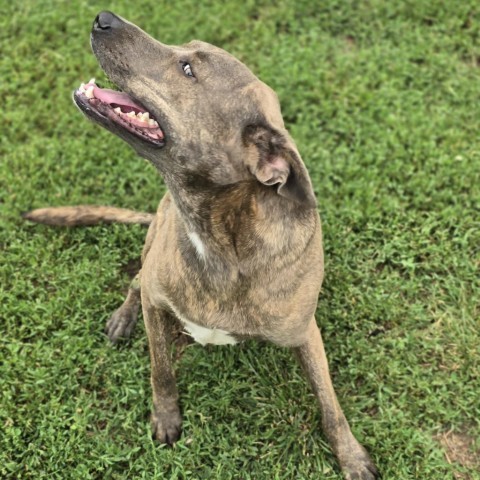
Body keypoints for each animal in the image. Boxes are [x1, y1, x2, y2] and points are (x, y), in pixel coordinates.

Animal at [25, 12, 378, 480]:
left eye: (188, 69)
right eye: (186, 51)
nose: (103, 18)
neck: (222, 242)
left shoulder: (305, 331)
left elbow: (330, 403)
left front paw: (351, 455)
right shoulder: (158, 303)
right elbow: (161, 371)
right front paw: (166, 416)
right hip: (152, 240)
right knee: (136, 280)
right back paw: (123, 316)